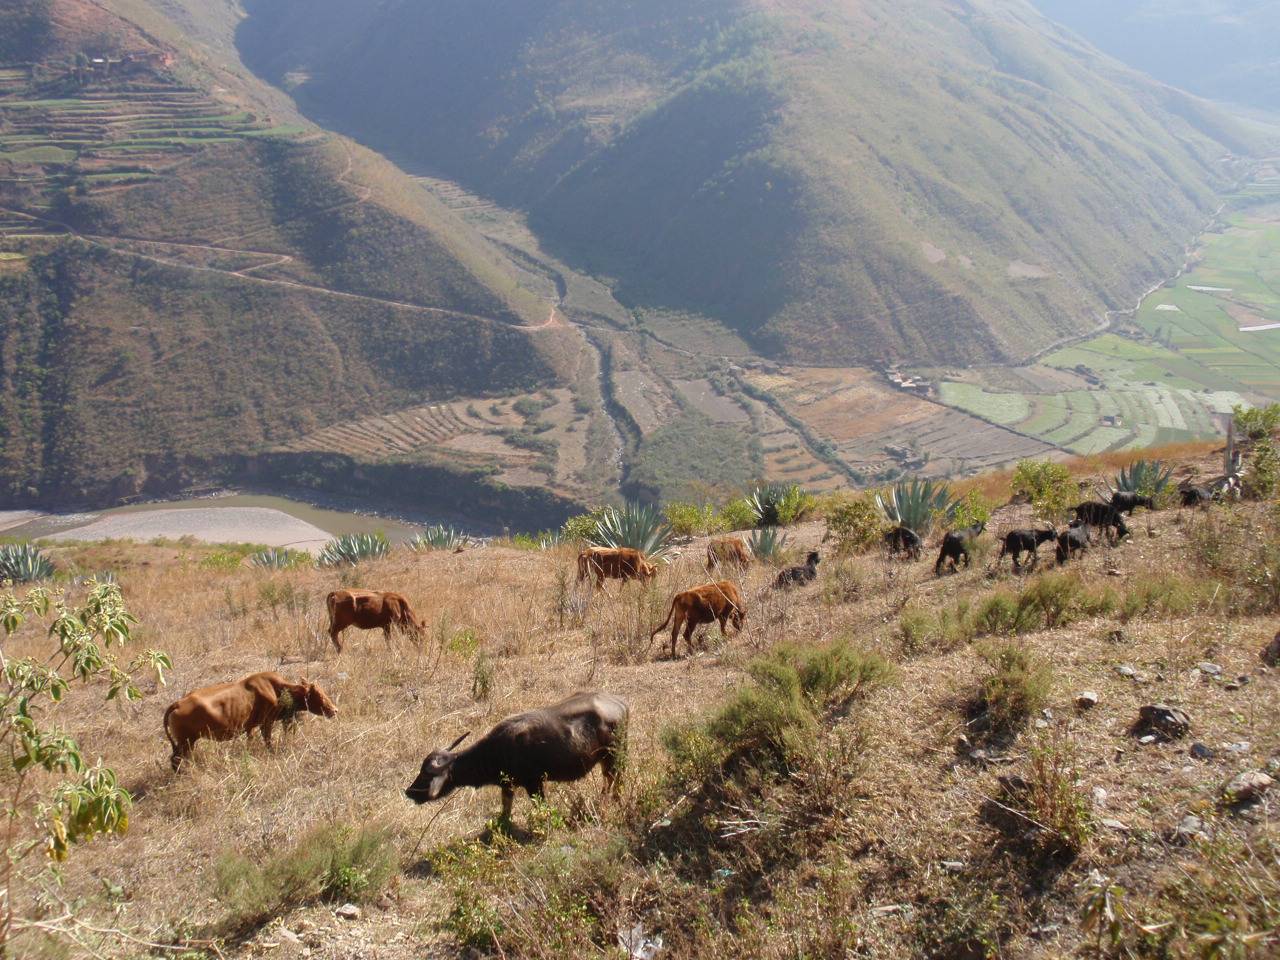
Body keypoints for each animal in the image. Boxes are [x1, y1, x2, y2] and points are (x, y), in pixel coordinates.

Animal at [162, 675, 337, 773]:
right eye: (319, 695)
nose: (334, 710)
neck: (277, 689)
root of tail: (178, 703)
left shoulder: (250, 728)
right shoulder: (266, 723)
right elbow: (268, 741)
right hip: (186, 743)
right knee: (176, 760)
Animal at [401, 691, 627, 829]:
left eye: (426, 775)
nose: (409, 791)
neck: (496, 750)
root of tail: (620, 703)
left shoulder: (534, 783)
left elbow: (541, 808)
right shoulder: (507, 785)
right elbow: (506, 809)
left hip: (613, 757)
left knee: (615, 780)